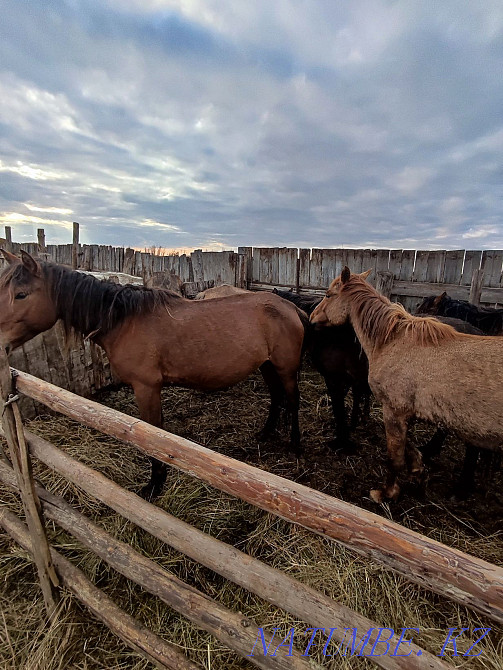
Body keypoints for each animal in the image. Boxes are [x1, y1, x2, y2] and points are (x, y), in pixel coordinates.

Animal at [0, 250, 308, 499]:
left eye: (21, 294)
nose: (0, 343)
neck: (124, 321)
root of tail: (289, 306)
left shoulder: (146, 388)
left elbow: (153, 434)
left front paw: (155, 484)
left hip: (285, 368)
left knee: (292, 400)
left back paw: (295, 445)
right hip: (266, 365)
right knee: (276, 396)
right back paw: (265, 433)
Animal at [311, 267, 503, 503]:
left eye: (329, 295)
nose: (312, 318)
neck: (391, 341)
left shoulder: (393, 410)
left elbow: (395, 457)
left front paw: (386, 493)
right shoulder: (404, 413)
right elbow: (408, 447)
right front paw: (418, 471)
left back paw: (461, 488)